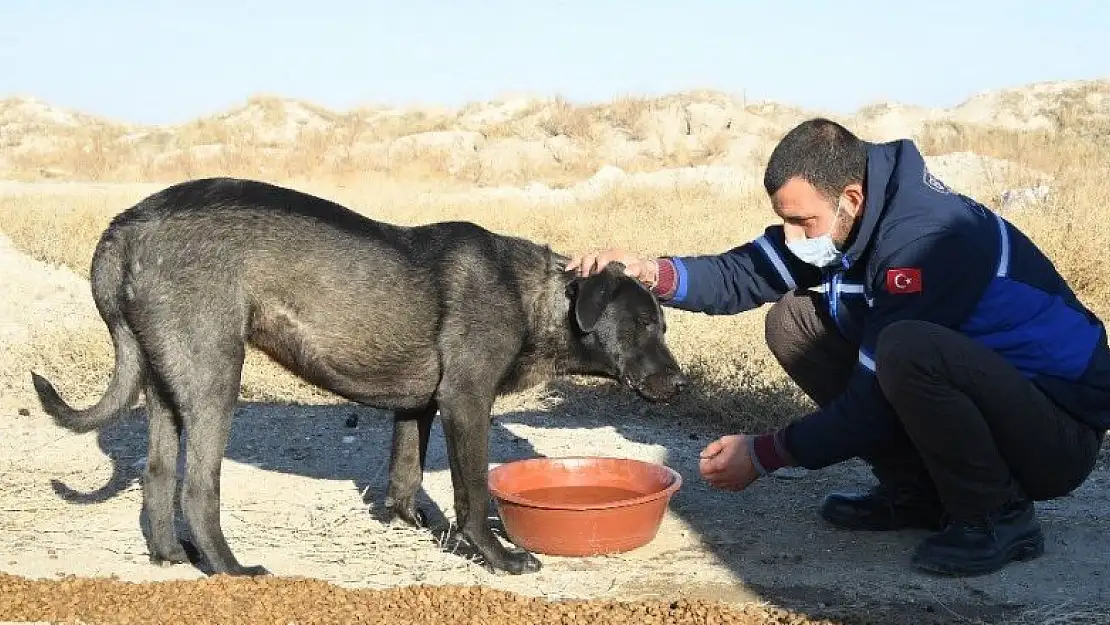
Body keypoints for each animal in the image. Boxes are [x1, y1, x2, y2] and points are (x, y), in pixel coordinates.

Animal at [30, 176, 683, 577]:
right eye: (642, 326)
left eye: (663, 326)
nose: (679, 386)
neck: (535, 298)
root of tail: (127, 224)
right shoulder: (467, 402)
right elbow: (472, 493)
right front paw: (496, 556)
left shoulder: (418, 406)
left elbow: (404, 473)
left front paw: (411, 523)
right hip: (216, 378)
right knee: (197, 489)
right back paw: (231, 569)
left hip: (169, 385)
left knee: (159, 476)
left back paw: (172, 556)